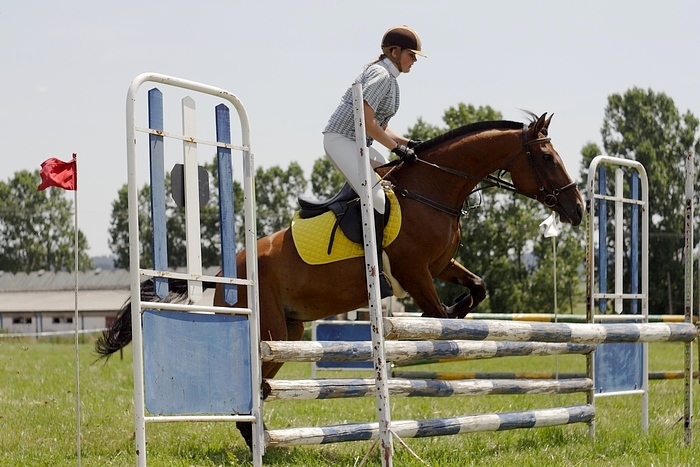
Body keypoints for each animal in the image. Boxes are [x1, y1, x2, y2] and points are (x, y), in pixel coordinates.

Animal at [94, 112, 584, 450]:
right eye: (546, 157)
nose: (577, 208)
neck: (434, 191)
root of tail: (223, 273)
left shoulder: (442, 264)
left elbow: (475, 288)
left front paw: (463, 320)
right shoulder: (414, 272)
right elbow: (436, 314)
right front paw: (438, 334)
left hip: (289, 334)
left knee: (255, 393)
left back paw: (267, 441)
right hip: (270, 333)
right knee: (249, 393)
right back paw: (263, 444)